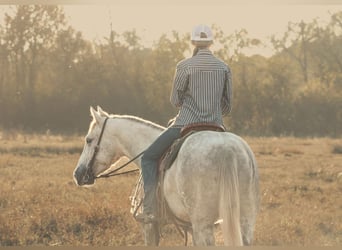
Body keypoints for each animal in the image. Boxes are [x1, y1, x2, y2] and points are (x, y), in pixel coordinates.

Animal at [73, 106, 260, 246]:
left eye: (88, 140)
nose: (78, 174)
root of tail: (227, 150)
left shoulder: (149, 225)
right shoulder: (189, 226)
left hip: (203, 223)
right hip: (245, 219)